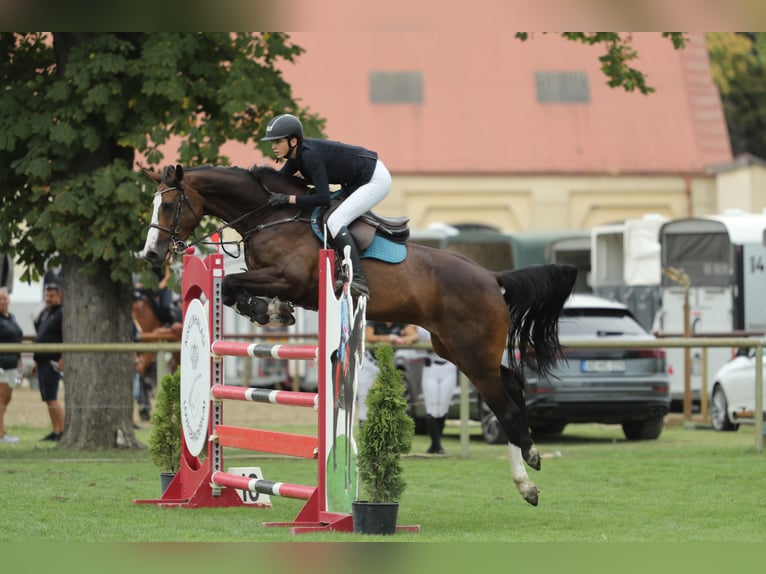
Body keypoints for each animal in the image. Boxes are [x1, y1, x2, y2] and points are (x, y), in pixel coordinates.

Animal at [141, 164, 577, 506]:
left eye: (168, 205)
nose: (150, 254)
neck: (273, 217)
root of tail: (492, 278)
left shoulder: (287, 277)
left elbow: (232, 283)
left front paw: (270, 309)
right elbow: (232, 288)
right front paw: (270, 310)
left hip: (472, 354)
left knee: (504, 406)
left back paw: (529, 472)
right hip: (457, 349)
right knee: (512, 385)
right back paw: (530, 469)